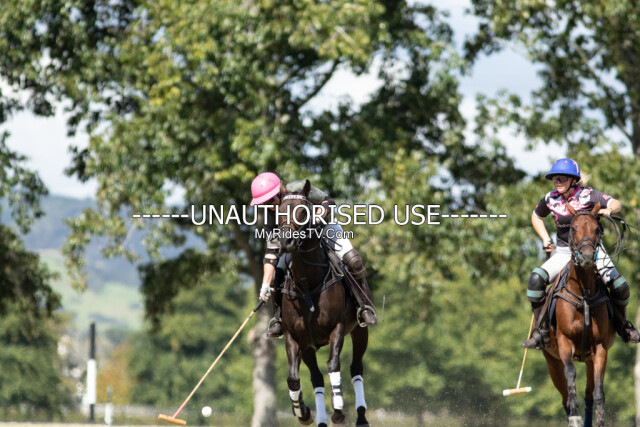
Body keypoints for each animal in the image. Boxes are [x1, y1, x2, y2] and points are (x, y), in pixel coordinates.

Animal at [276, 180, 370, 427]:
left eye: (303, 212)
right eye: (279, 211)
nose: (286, 241)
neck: (308, 281)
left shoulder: (337, 328)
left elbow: (333, 365)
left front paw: (337, 410)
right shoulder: (294, 336)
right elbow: (293, 378)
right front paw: (302, 411)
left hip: (360, 330)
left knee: (356, 368)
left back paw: (360, 416)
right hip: (309, 345)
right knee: (316, 378)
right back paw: (318, 420)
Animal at [542, 202, 616, 427]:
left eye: (597, 229)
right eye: (573, 229)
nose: (587, 257)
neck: (583, 294)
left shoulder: (600, 347)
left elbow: (598, 391)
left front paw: (600, 421)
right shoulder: (564, 340)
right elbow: (571, 374)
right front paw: (574, 416)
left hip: (589, 358)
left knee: (589, 393)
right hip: (551, 359)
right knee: (565, 393)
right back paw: (573, 416)